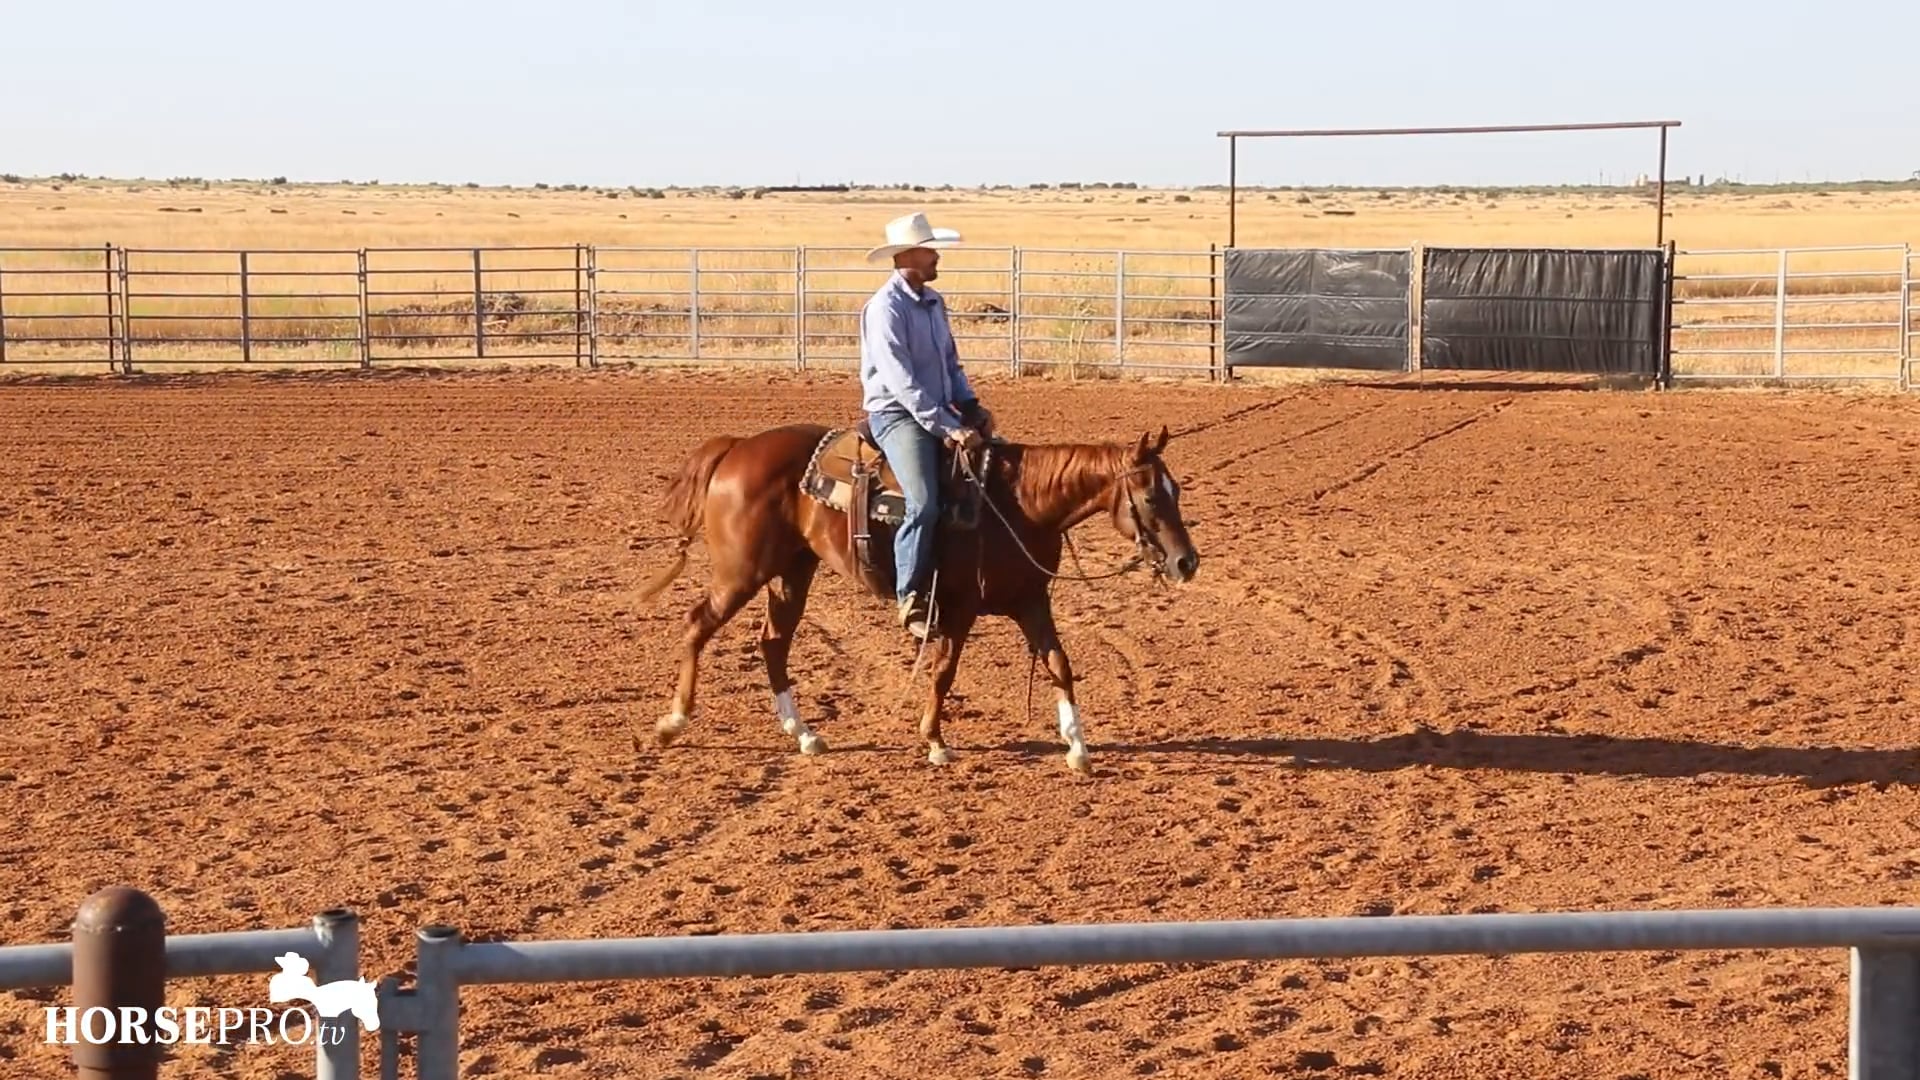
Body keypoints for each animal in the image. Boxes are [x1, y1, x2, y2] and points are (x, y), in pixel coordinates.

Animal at [632, 419, 1199, 773]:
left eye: (1176, 491)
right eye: (1152, 496)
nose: (1186, 562)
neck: (1017, 504)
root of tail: (737, 448)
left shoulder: (1031, 600)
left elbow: (1059, 663)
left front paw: (1077, 746)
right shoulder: (960, 607)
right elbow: (944, 671)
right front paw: (934, 741)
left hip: (793, 571)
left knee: (774, 642)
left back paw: (804, 733)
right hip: (741, 571)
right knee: (697, 623)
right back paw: (673, 722)